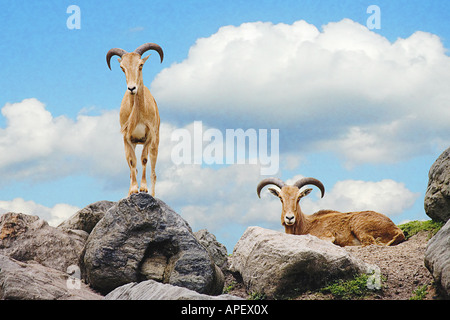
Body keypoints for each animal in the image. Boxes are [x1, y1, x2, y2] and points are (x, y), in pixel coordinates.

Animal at [106, 42, 163, 196]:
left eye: (141, 65)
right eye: (122, 68)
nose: (132, 88)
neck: (138, 114)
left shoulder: (149, 137)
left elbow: (143, 160)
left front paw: (143, 188)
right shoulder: (127, 138)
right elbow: (132, 162)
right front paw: (132, 190)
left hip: (156, 142)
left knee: (154, 172)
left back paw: (153, 194)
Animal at [256, 176, 408, 246]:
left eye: (299, 197)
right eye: (280, 197)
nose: (289, 218)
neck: (305, 225)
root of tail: (396, 230)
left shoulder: (326, 236)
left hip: (359, 225)